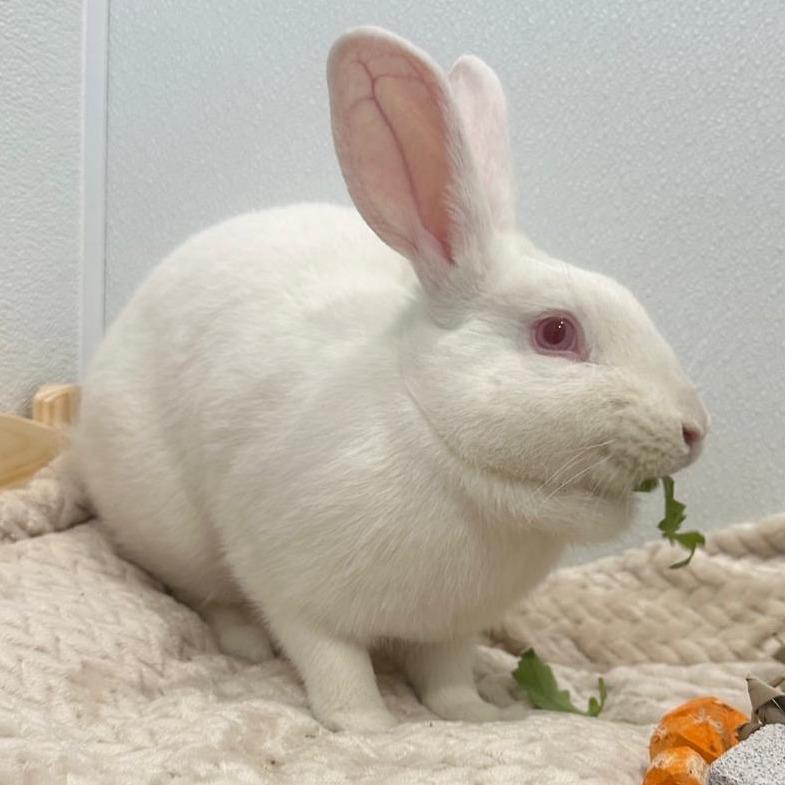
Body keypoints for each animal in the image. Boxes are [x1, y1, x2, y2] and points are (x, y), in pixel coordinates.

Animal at [71, 26, 709, 732]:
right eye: (556, 333)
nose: (695, 430)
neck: (439, 442)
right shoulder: (294, 589)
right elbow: (334, 664)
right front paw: (367, 725)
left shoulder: (452, 630)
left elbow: (447, 676)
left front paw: (476, 716)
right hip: (171, 529)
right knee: (211, 596)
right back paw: (246, 644)